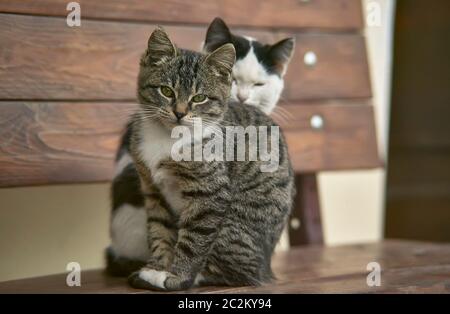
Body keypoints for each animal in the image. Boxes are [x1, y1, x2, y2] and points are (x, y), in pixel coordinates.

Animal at [106, 18, 296, 276]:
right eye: (166, 91)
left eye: (199, 98)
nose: (179, 112)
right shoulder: (152, 189)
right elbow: (159, 230)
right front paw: (158, 267)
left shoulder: (210, 191)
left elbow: (194, 236)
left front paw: (175, 274)